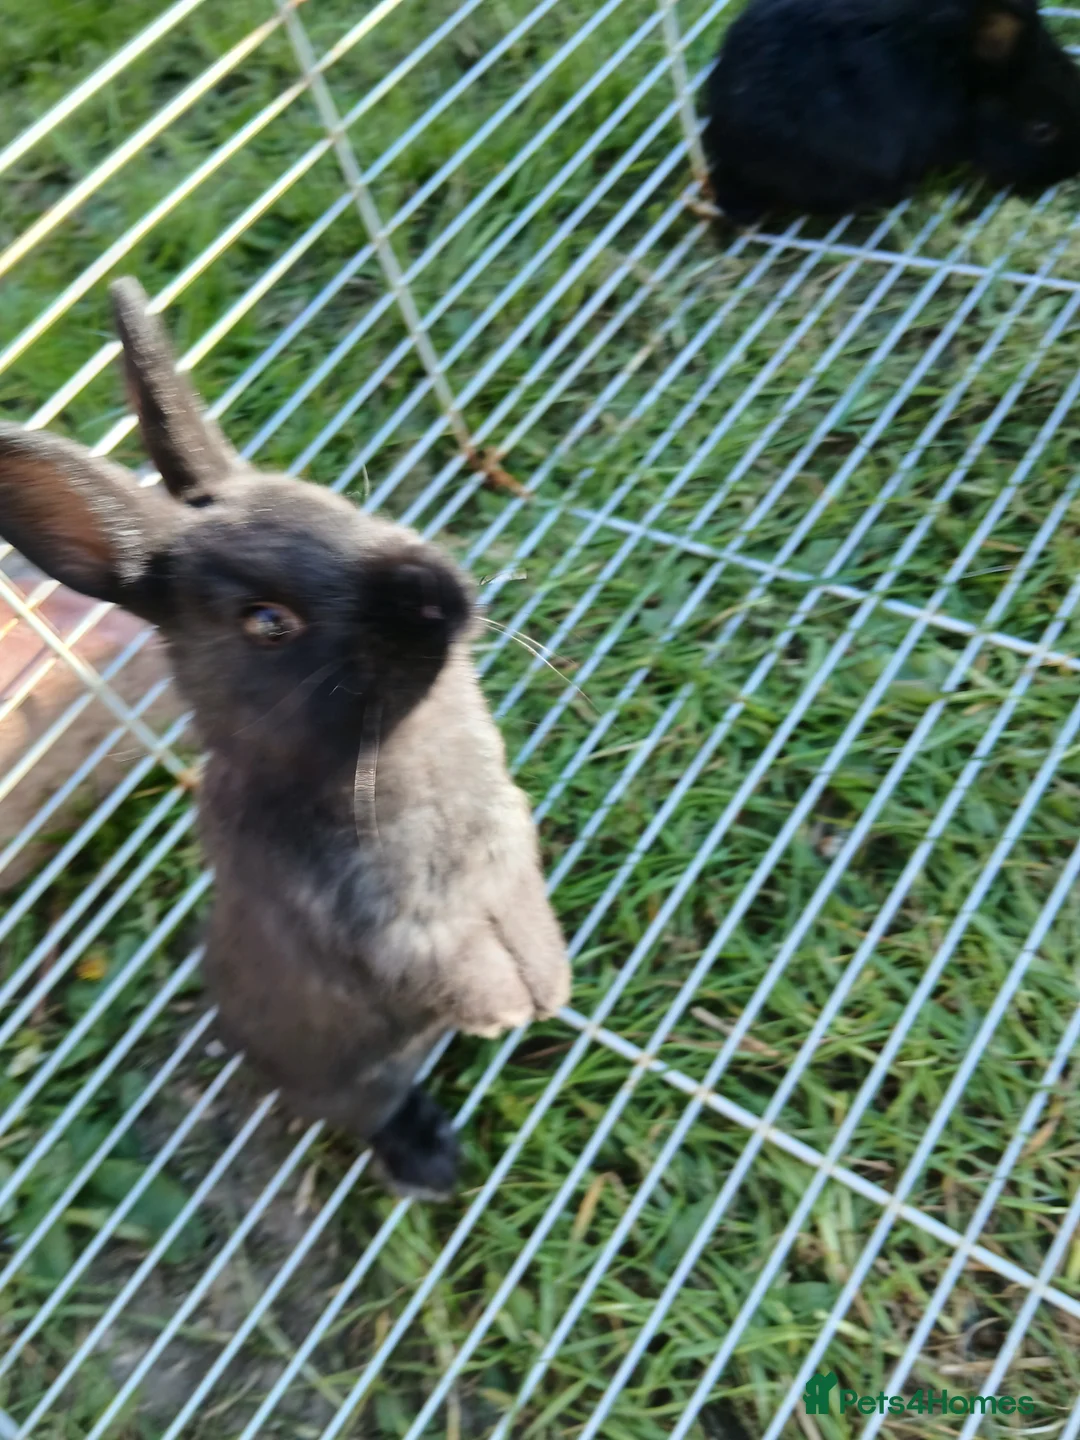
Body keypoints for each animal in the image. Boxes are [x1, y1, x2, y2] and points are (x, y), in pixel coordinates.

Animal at [0, 278, 571, 1200]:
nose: (438, 593)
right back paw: (430, 1164)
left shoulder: (506, 846)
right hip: (355, 1079)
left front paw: (551, 990)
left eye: (337, 504)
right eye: (267, 622)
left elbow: (527, 921)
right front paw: (509, 1010)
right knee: (377, 1112)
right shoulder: (399, 925)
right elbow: (460, 965)